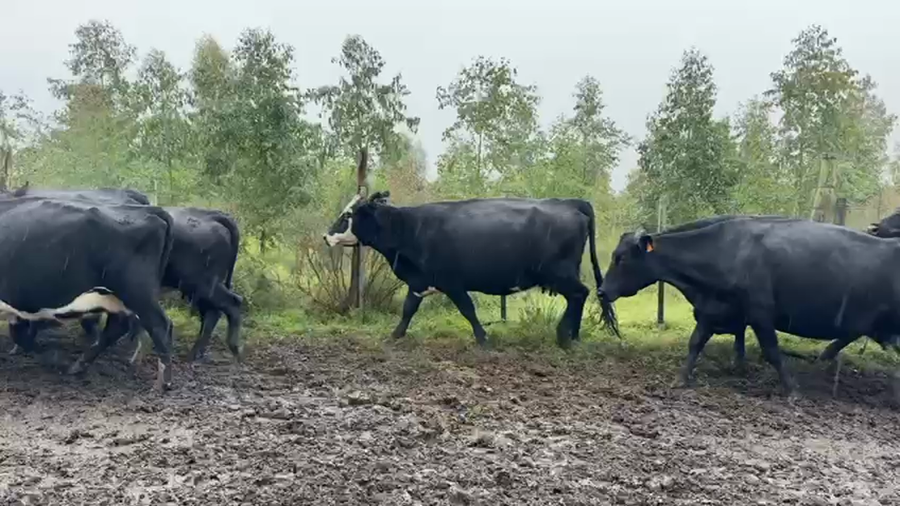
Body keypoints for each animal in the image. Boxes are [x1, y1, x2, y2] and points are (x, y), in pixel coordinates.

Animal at [0, 196, 175, 391]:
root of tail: (150, 210)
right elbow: (20, 335)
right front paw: (55, 359)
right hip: (115, 297)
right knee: (117, 327)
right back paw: (79, 365)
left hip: (137, 292)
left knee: (159, 325)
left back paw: (163, 382)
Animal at [323, 187, 619, 347]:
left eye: (347, 215)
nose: (326, 236)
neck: (410, 227)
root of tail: (570, 202)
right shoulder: (419, 281)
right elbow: (408, 310)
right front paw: (395, 335)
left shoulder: (452, 282)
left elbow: (468, 310)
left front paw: (482, 339)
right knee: (578, 297)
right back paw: (574, 335)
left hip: (560, 273)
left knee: (580, 294)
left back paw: (564, 336)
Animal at [599, 216, 900, 398]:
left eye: (622, 258)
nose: (602, 290)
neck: (727, 250)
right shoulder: (714, 309)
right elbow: (696, 343)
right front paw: (681, 378)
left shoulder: (760, 312)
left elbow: (772, 351)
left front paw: (792, 390)